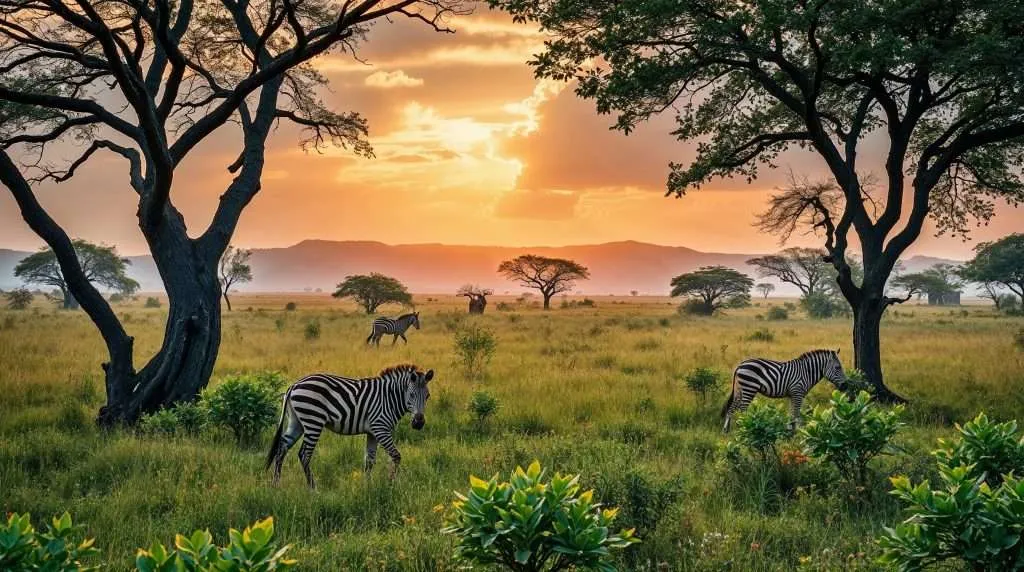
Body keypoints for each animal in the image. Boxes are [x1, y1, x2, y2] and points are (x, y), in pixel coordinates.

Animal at [265, 364, 434, 488]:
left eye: (427, 396)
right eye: (411, 395)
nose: (419, 422)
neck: (389, 397)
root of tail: (294, 385)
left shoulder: (373, 432)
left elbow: (369, 460)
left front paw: (367, 486)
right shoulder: (381, 428)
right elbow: (396, 455)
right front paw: (391, 482)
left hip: (296, 422)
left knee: (281, 449)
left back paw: (275, 485)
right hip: (313, 421)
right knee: (304, 454)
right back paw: (313, 488)